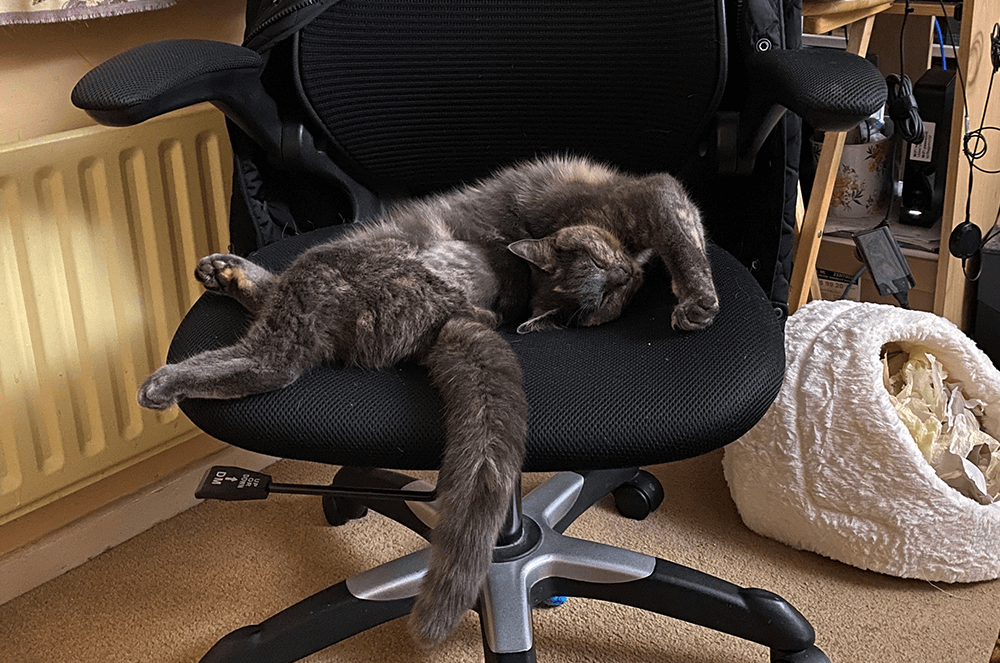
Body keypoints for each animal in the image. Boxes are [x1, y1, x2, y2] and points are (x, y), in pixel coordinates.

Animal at [139, 154, 720, 644]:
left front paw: (691, 296)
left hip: (318, 284)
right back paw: (170, 366)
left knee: (272, 327)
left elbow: (679, 228)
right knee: (269, 353)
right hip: (320, 279)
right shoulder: (636, 196)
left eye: (608, 289)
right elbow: (678, 220)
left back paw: (220, 279)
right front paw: (697, 299)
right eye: (600, 277)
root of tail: (451, 315)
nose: (624, 275)